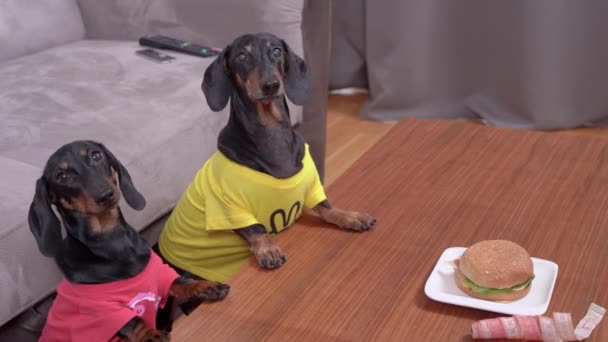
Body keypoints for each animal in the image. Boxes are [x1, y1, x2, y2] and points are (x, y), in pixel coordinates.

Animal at [27, 140, 230, 340]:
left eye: (96, 155)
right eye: (62, 176)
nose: (105, 195)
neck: (113, 242)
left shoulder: (160, 273)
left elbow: (180, 282)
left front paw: (207, 286)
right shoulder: (102, 310)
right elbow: (133, 321)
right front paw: (150, 335)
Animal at [157, 32, 376, 284]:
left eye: (276, 51)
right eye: (242, 55)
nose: (270, 85)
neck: (271, 133)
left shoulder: (312, 187)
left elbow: (326, 207)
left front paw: (350, 216)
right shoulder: (229, 206)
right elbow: (256, 229)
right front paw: (268, 250)